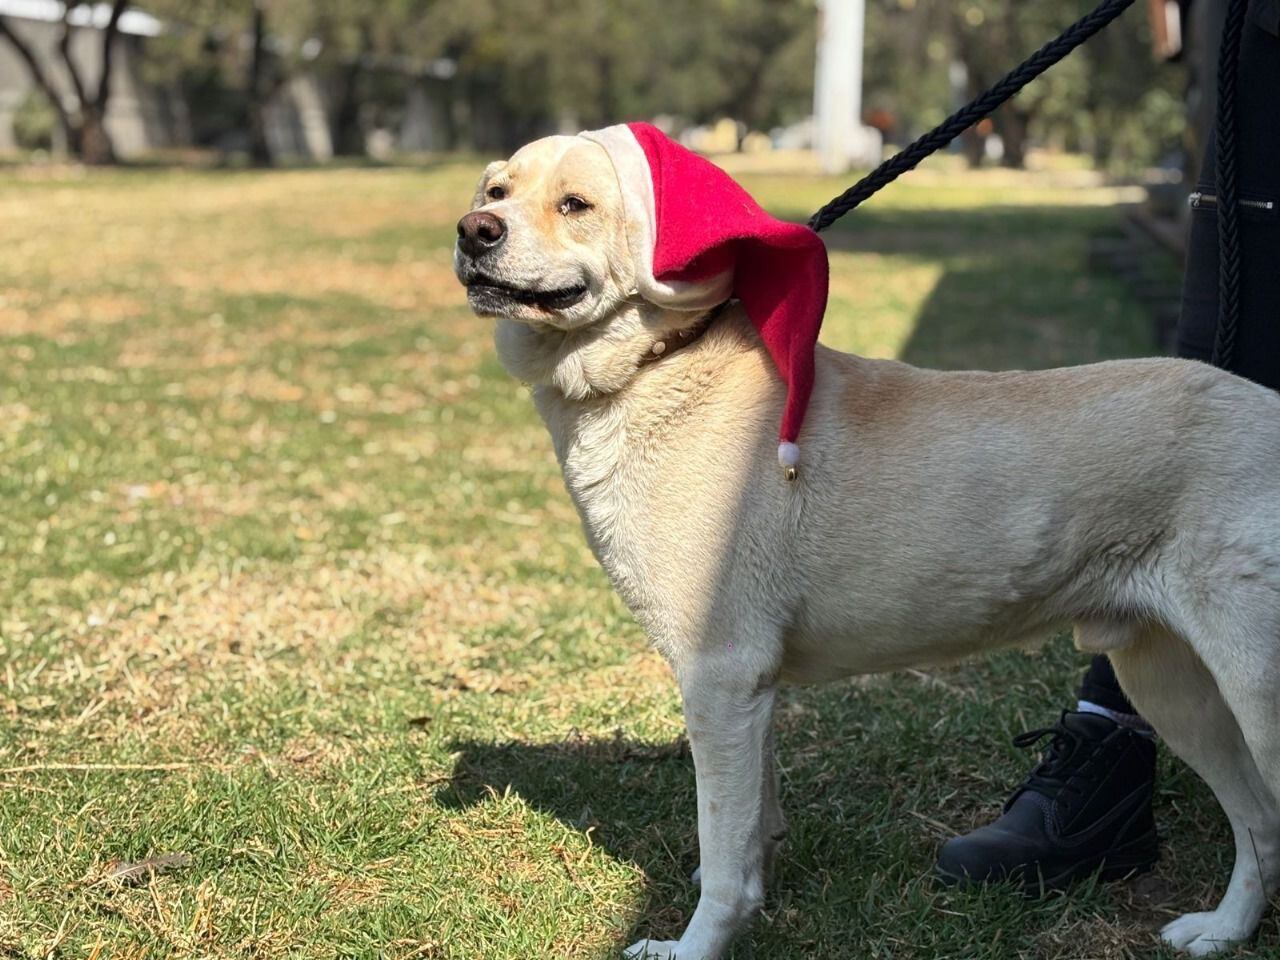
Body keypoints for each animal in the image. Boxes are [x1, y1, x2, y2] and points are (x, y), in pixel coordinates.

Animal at [450, 129, 1280, 960]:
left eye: (576, 204)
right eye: (497, 192)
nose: (472, 231)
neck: (663, 362)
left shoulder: (719, 675)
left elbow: (722, 845)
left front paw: (693, 946)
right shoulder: (751, 691)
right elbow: (751, 830)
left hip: (1250, 688)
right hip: (1166, 682)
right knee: (1260, 827)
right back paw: (1221, 931)